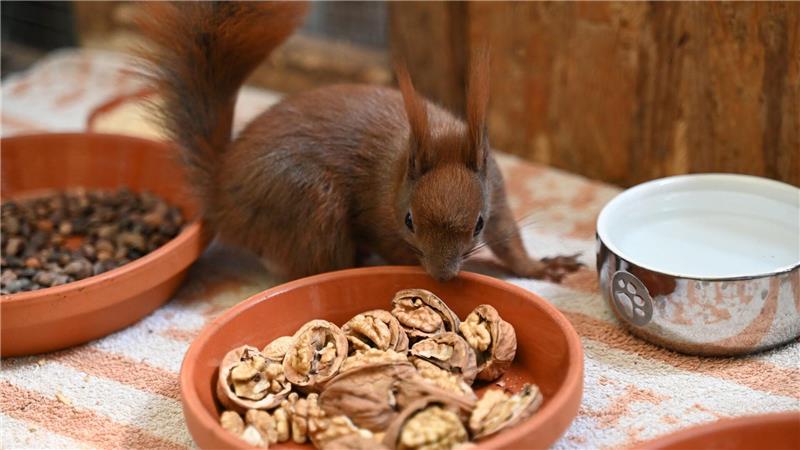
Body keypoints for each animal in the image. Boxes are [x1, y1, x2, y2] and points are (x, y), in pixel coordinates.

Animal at [138, 2, 579, 282]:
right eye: (409, 220)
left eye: (478, 225)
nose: (442, 276)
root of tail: (220, 196)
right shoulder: (380, 219)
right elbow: (399, 252)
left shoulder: (496, 192)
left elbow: (509, 240)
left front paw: (540, 268)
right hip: (310, 204)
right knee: (315, 264)